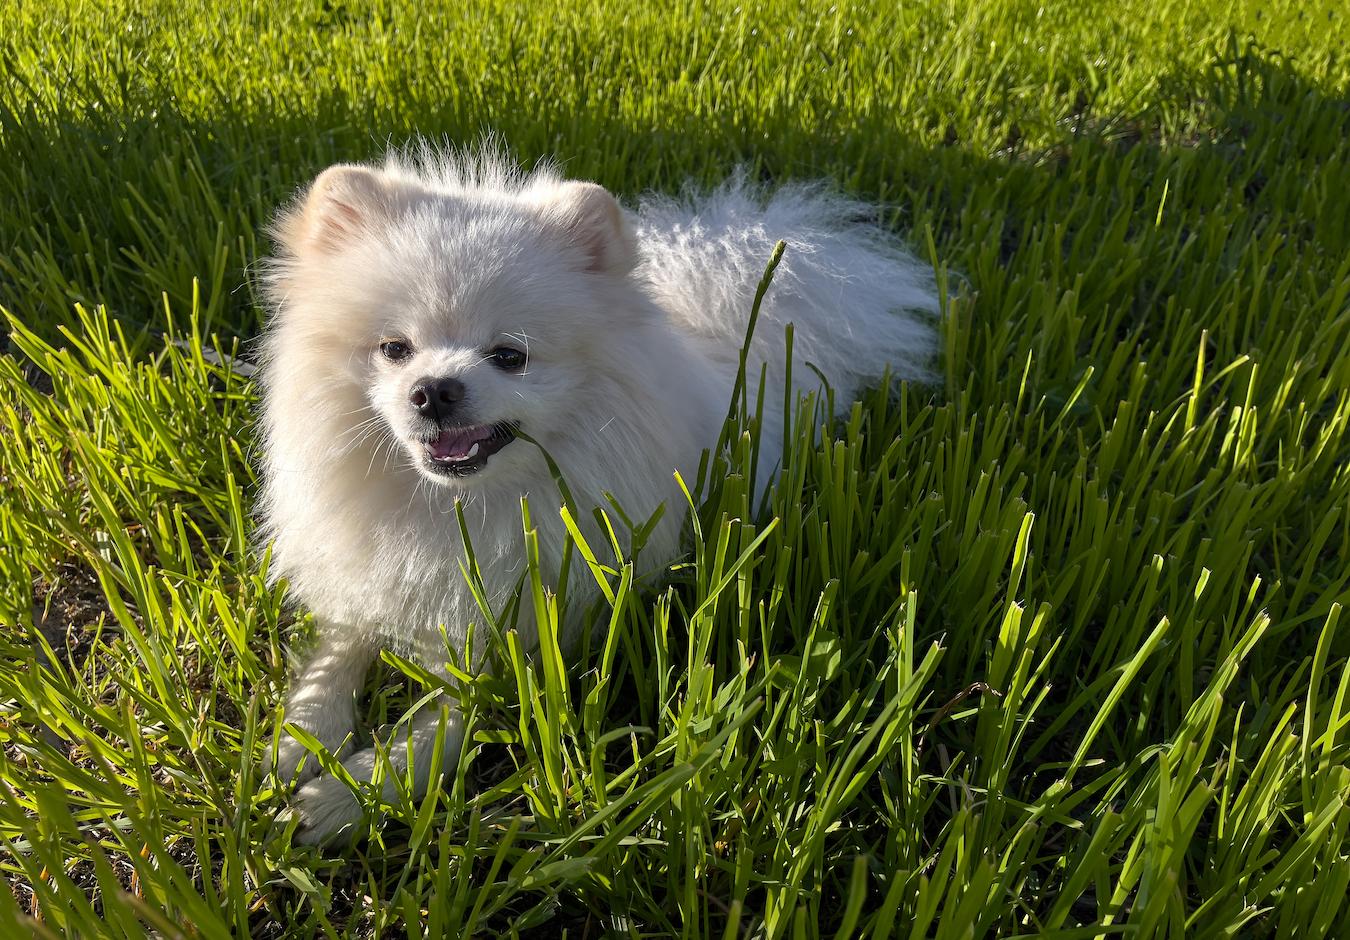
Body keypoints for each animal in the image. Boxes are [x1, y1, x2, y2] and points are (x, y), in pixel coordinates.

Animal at [255, 143, 939, 842]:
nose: (435, 389)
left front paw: (352, 792)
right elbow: (341, 644)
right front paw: (305, 733)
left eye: (510, 356)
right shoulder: (370, 574)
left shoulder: (522, 637)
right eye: (394, 348)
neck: (457, 505)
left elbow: (443, 723)